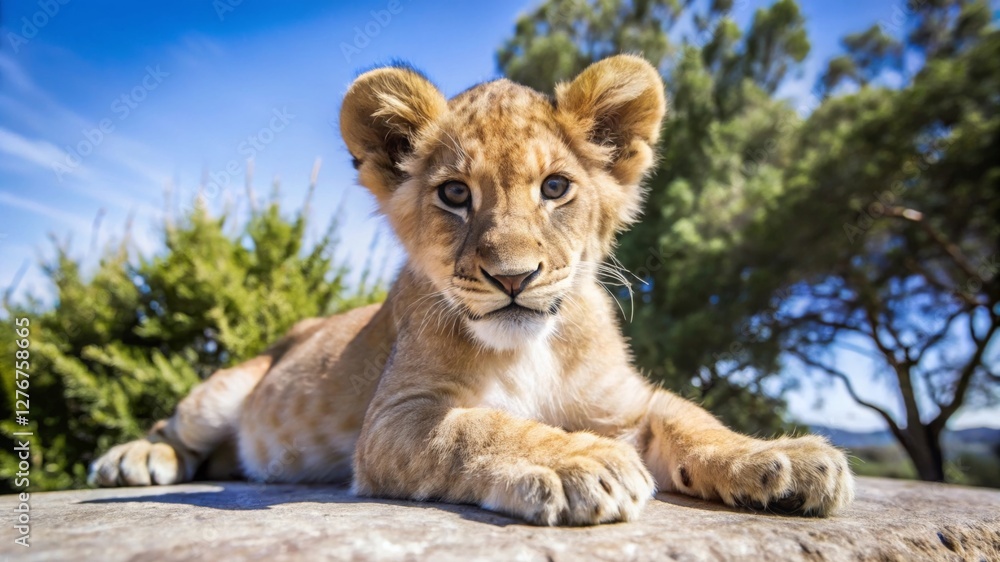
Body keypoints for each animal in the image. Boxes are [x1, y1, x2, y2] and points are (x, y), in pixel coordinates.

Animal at [90, 55, 854, 525]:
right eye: (455, 194)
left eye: (555, 188)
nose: (513, 277)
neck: (534, 348)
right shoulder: (394, 419)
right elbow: (482, 425)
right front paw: (581, 461)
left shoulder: (626, 402)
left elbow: (693, 421)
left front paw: (783, 461)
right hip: (228, 389)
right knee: (180, 429)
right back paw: (133, 459)